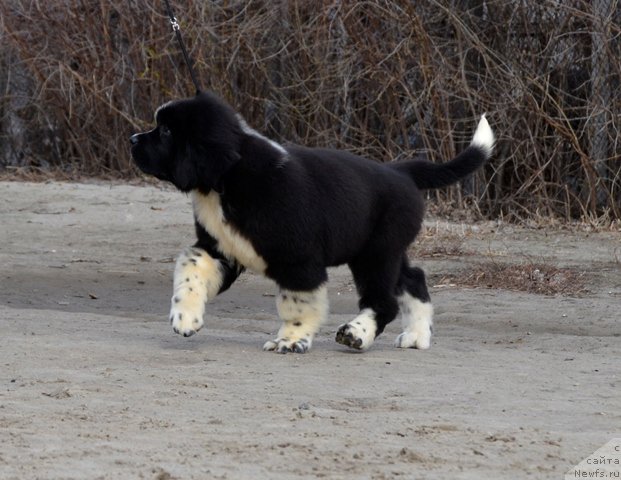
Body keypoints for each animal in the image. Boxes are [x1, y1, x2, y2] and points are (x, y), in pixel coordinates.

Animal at [128, 91, 492, 352]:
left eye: (166, 131)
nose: (132, 139)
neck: (227, 181)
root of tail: (401, 171)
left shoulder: (298, 260)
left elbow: (298, 304)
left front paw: (290, 341)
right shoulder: (221, 248)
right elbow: (191, 266)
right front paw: (185, 318)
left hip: (376, 254)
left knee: (384, 301)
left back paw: (356, 334)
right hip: (382, 249)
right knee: (413, 278)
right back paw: (416, 336)